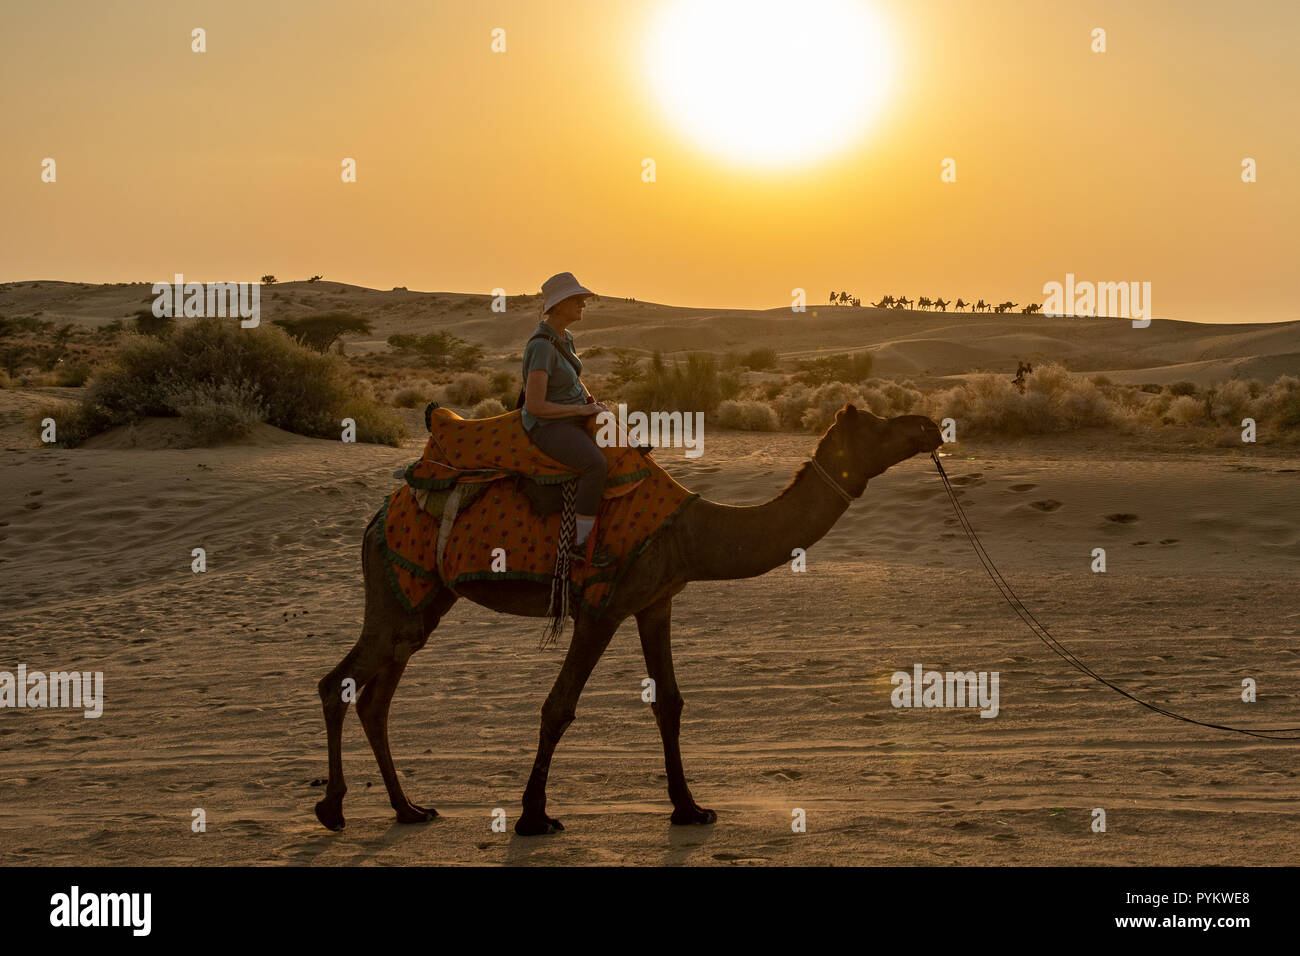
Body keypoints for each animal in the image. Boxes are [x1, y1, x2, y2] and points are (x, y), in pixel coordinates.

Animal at [314, 408, 946, 832]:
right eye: (881, 425)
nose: (930, 425)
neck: (691, 532)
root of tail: (376, 518)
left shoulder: (655, 601)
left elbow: (670, 703)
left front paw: (690, 809)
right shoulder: (602, 607)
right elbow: (559, 706)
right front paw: (534, 817)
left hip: (422, 600)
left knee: (375, 694)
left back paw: (407, 809)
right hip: (400, 585)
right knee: (336, 682)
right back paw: (333, 808)